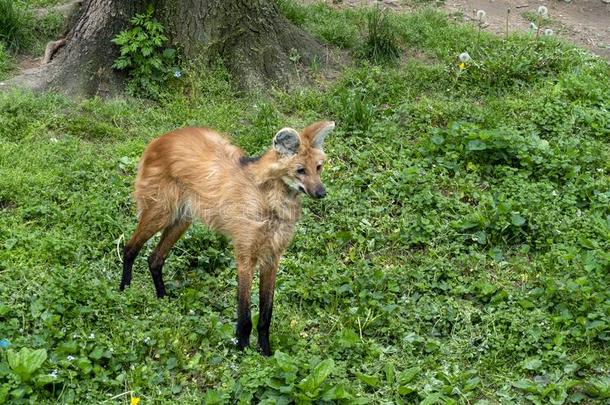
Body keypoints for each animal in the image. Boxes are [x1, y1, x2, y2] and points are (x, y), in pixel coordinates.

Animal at [119, 120, 334, 354]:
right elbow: (245, 315)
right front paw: (243, 351)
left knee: (155, 258)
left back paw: (163, 300)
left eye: (318, 168)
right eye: (300, 170)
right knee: (129, 248)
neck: (271, 200)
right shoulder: (245, 255)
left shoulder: (272, 256)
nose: (321, 193)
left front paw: (266, 353)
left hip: (182, 219)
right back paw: (124, 292)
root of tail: (160, 138)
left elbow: (266, 314)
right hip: (161, 212)